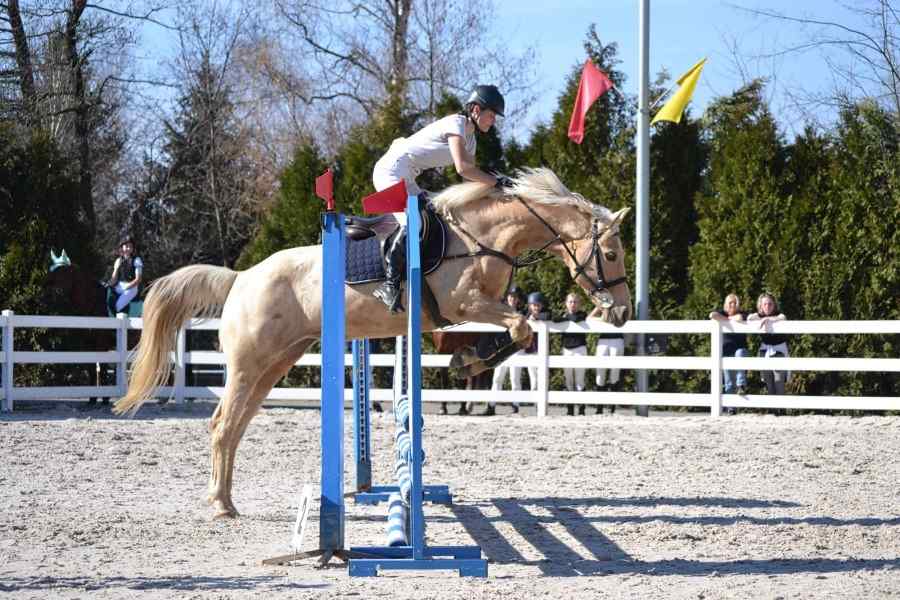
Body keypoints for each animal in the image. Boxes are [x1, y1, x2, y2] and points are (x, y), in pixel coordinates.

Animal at [114, 166, 632, 516]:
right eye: (609, 254)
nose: (622, 313)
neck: (482, 236)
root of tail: (240, 277)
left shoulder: (476, 309)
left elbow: (518, 330)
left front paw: (467, 360)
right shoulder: (465, 305)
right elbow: (520, 328)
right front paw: (468, 362)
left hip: (275, 363)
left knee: (235, 426)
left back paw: (224, 497)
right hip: (248, 363)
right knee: (223, 424)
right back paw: (221, 505)